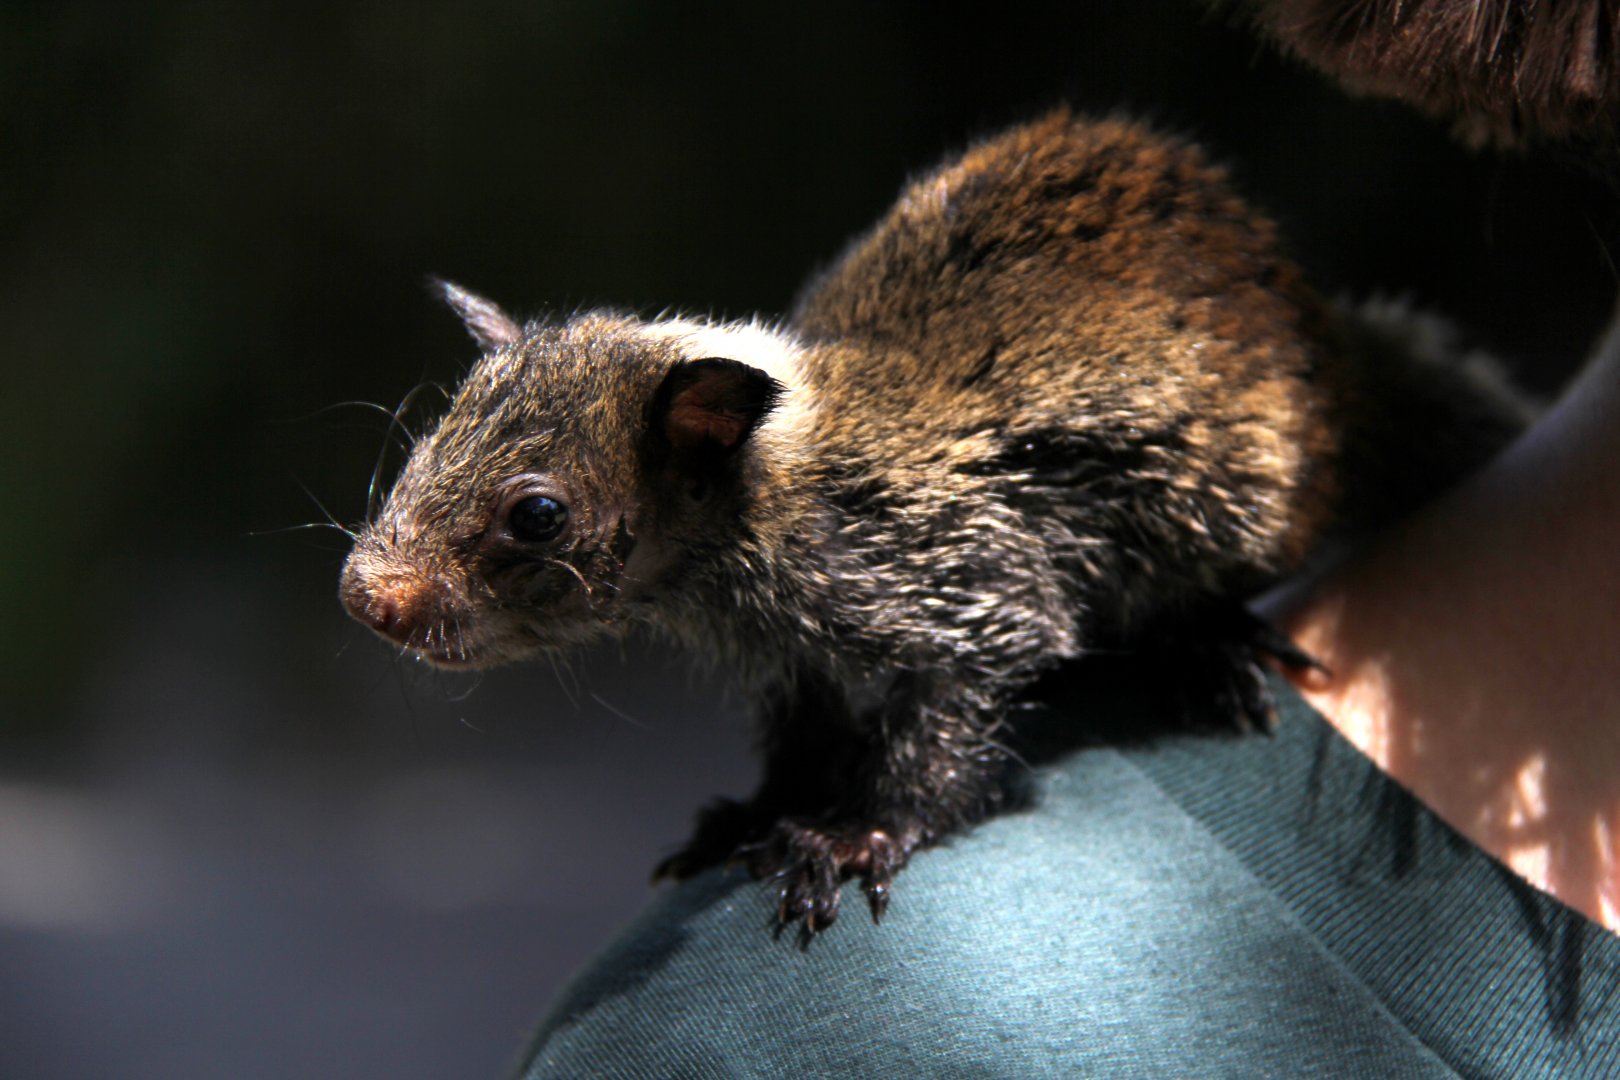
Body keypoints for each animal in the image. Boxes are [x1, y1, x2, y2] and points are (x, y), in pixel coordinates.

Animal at [339, 110, 1531, 935]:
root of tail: (1337, 357)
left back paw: (1208, 643)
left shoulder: (964, 580)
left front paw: (853, 833)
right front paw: (761, 810)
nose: (367, 599)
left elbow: (940, 728)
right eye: (425, 443)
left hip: (1228, 498)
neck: (771, 505)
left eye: (538, 514)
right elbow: (805, 728)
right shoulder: (790, 653)